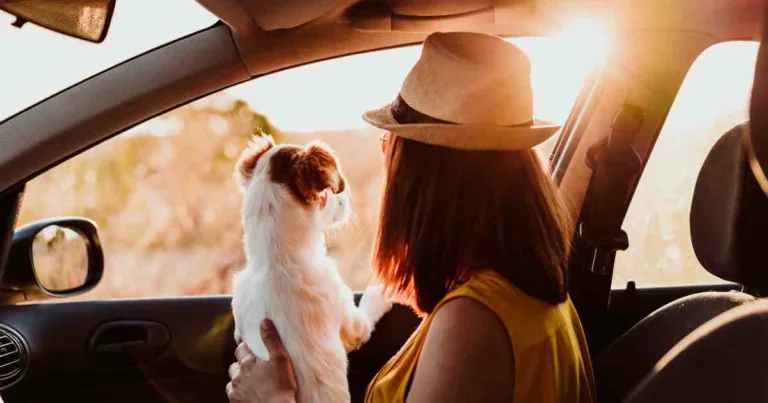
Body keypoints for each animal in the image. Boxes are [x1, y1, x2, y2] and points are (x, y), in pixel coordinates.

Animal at [231, 137, 390, 403]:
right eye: (329, 192)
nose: (347, 198)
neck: (277, 261)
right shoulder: (352, 322)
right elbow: (368, 311)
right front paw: (381, 292)